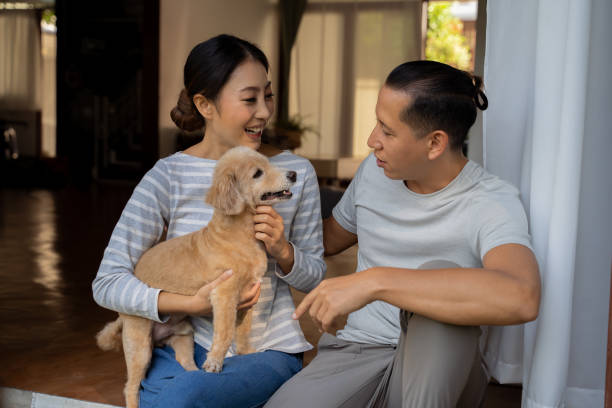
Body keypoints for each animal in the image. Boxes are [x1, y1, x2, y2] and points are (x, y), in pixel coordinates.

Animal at [95, 147, 296, 408]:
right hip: (139, 347)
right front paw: (215, 361)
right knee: (130, 387)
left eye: (269, 163)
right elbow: (225, 331)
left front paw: (245, 352)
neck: (239, 234)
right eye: (258, 173)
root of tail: (122, 316)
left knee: (187, 367)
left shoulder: (249, 295)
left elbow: (242, 331)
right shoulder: (224, 295)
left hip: (183, 339)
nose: (293, 174)